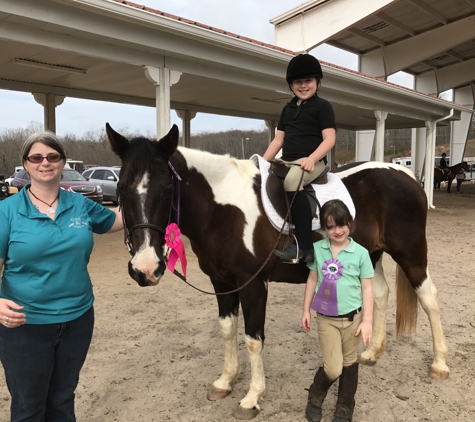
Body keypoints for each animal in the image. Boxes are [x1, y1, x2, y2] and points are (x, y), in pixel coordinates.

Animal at [107, 123, 450, 420]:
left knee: (429, 298)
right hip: (373, 255)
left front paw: (252, 397)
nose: (145, 268)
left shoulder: (252, 284)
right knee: (380, 294)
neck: (223, 209)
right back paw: (372, 352)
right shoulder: (221, 282)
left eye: (167, 188)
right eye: (121, 188)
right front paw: (225, 381)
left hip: (410, 254)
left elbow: (253, 338)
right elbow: (227, 330)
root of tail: (404, 173)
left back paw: (439, 364)